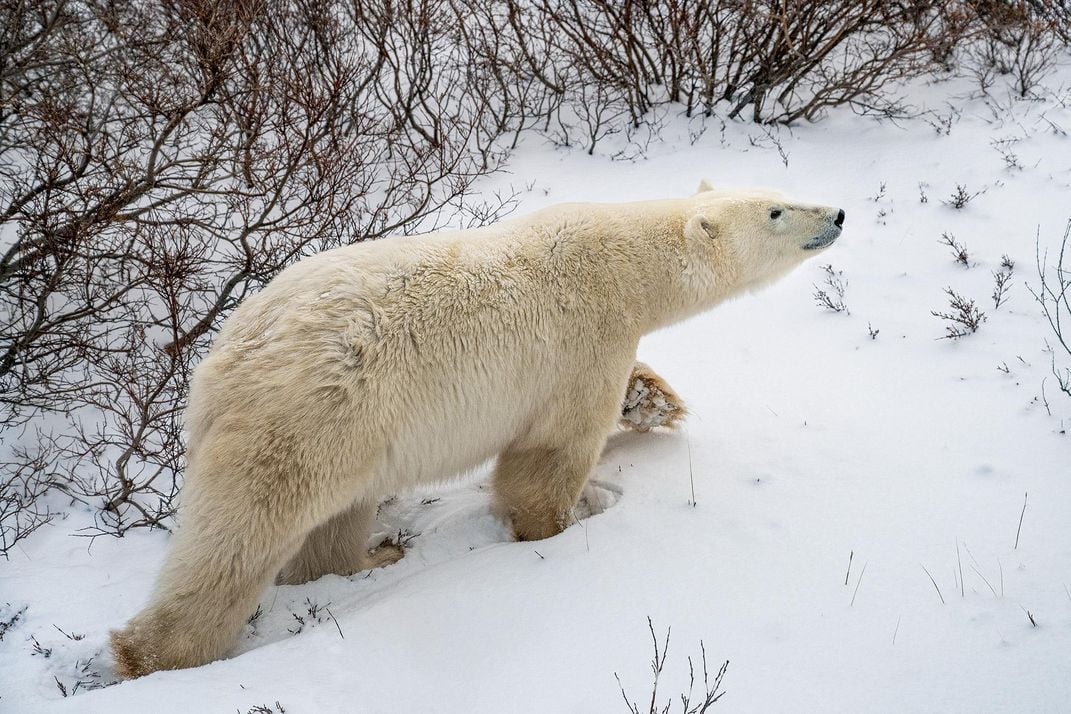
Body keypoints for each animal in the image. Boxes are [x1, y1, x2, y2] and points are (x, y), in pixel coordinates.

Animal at [110, 181, 843, 680]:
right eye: (776, 211)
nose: (836, 214)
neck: (621, 264)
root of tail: (217, 367)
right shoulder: (580, 339)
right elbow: (549, 452)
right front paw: (561, 525)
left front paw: (657, 402)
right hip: (309, 413)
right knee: (239, 539)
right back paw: (153, 656)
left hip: (346, 431)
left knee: (335, 518)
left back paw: (374, 556)